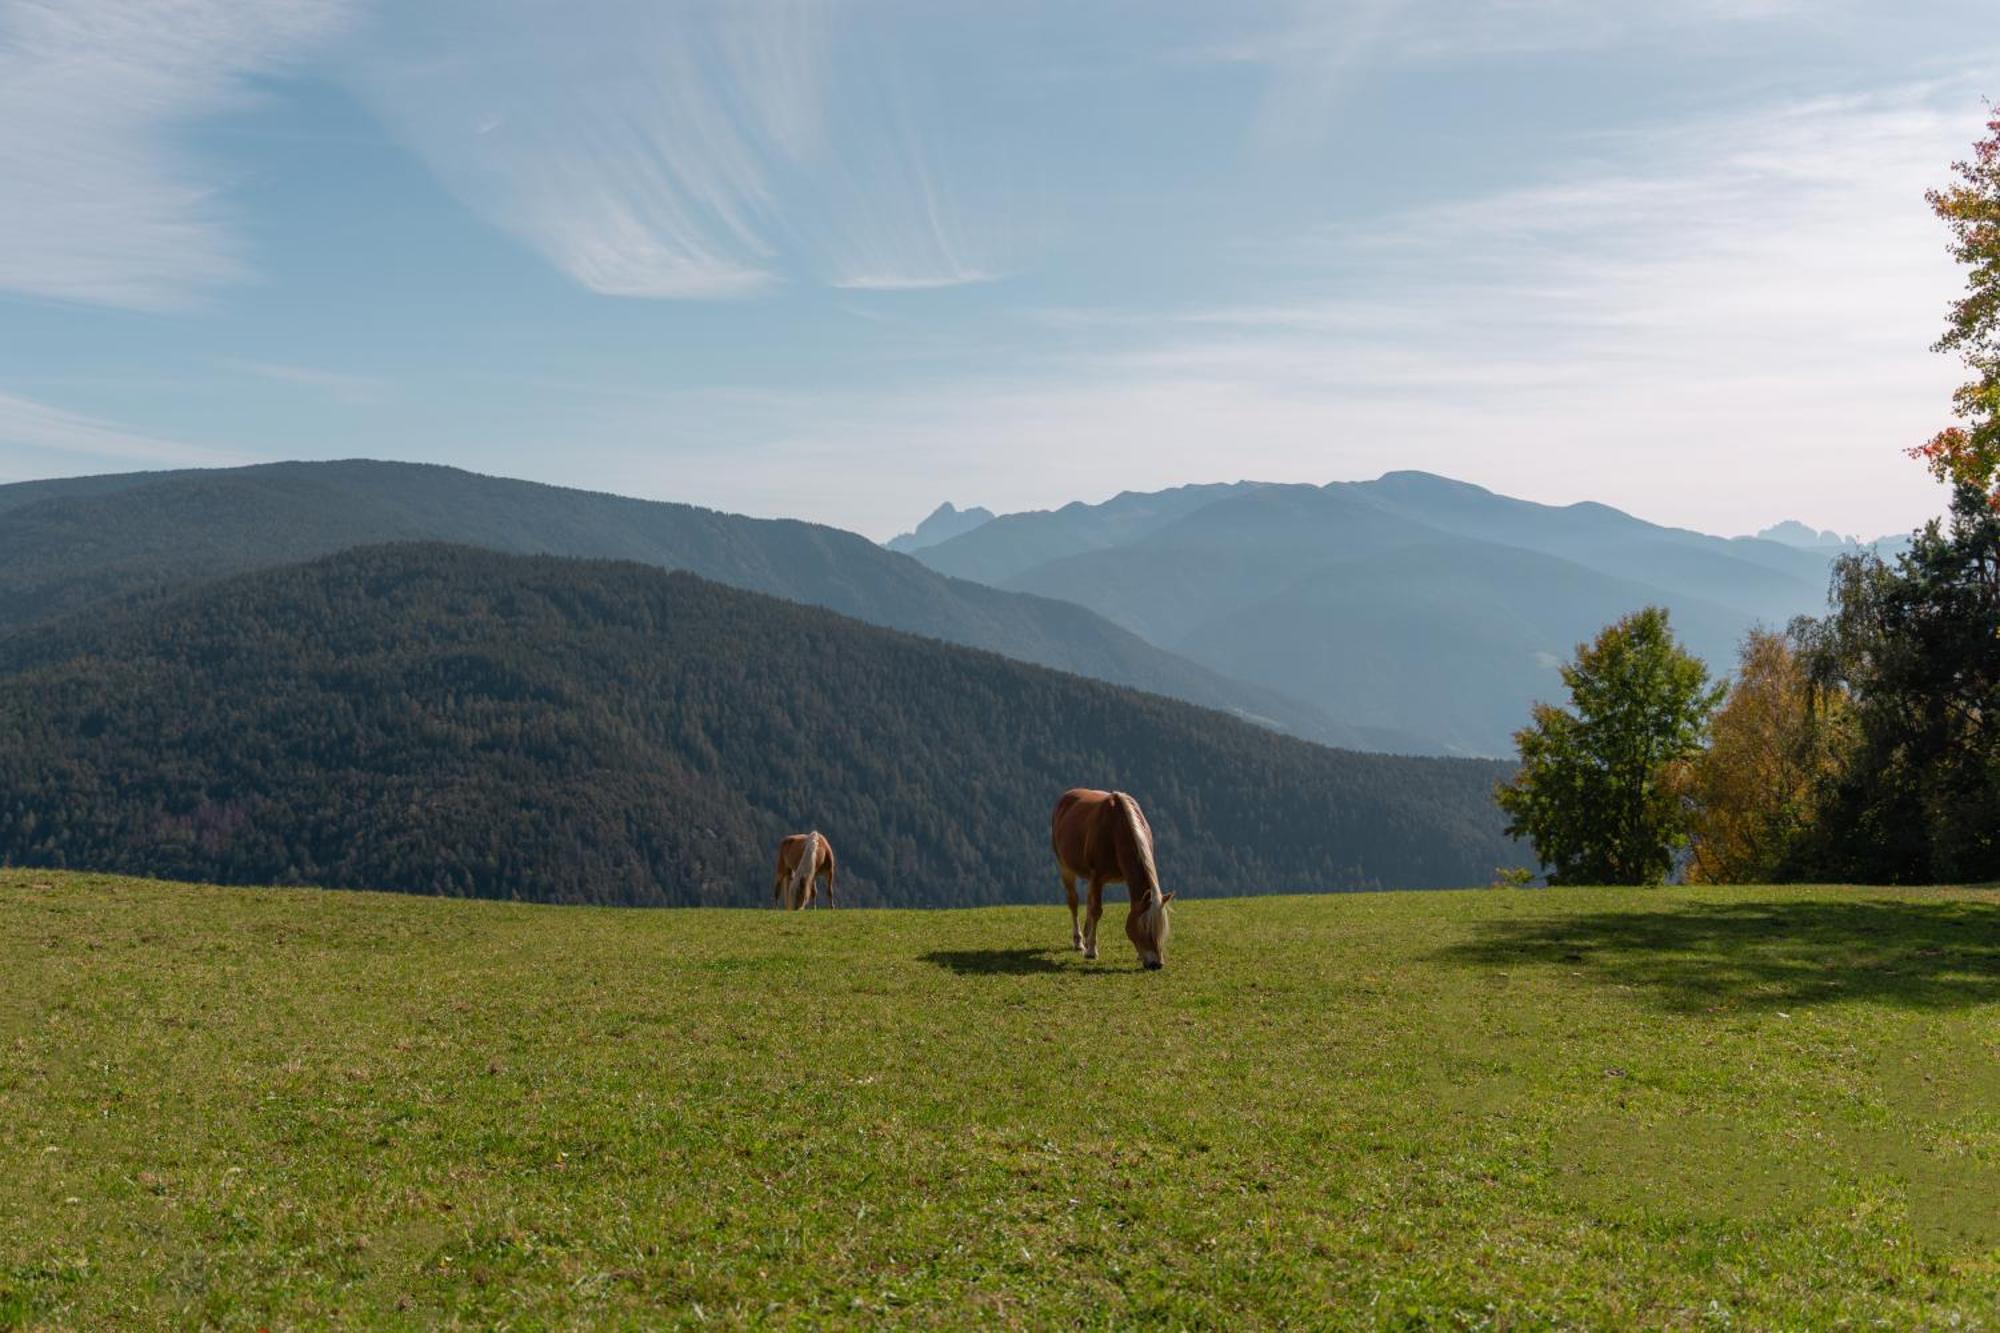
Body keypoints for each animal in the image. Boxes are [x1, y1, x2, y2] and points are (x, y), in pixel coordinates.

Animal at [1048, 788, 1168, 964]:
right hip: (1065, 867)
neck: (1116, 829)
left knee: (1089, 900)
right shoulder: (1097, 877)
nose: (1156, 964)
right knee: (1073, 902)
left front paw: (1139, 954)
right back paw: (1079, 942)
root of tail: (1067, 795)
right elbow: (1096, 911)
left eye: (1161, 930)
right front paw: (1091, 951)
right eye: (1145, 927)